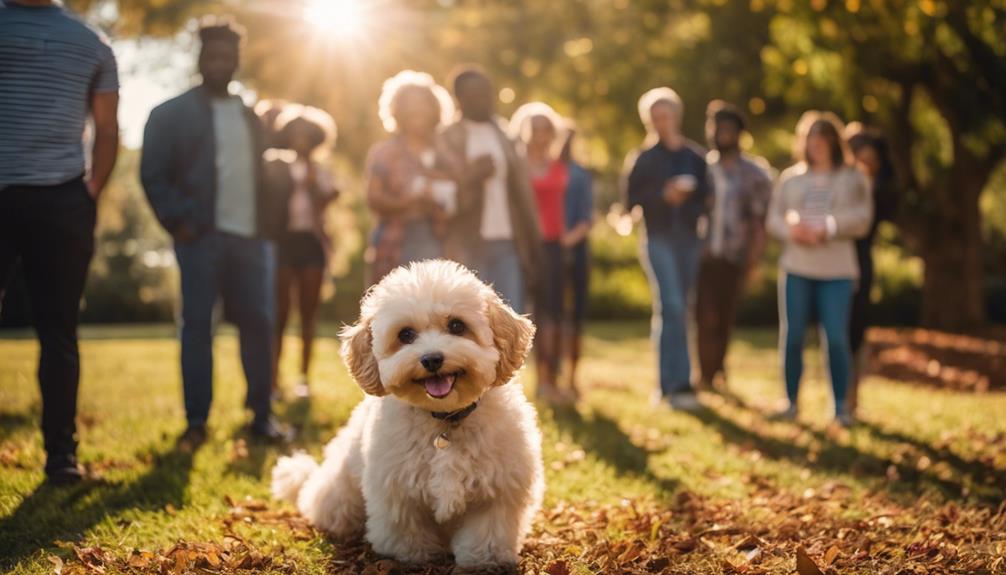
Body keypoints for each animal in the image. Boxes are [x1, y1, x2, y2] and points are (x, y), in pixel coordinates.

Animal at [269, 261, 543, 570]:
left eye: (457, 326)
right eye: (406, 335)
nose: (432, 359)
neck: (444, 420)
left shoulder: (498, 489)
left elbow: (487, 530)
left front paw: (484, 560)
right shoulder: (396, 489)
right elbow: (406, 528)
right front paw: (413, 556)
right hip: (340, 493)